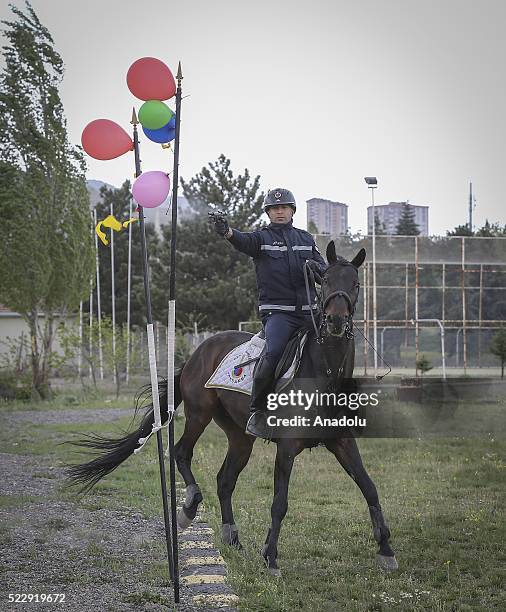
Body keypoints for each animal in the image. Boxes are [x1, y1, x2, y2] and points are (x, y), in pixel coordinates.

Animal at [68, 241, 400, 576]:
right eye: (326, 281)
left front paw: (385, 549)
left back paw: (232, 536)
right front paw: (271, 557)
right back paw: (189, 506)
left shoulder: (343, 441)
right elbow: (280, 502)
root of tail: (197, 354)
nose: (335, 321)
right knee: (181, 453)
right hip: (199, 414)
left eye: (356, 284)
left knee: (224, 480)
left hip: (240, 437)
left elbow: (369, 487)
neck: (323, 373)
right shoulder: (287, 448)